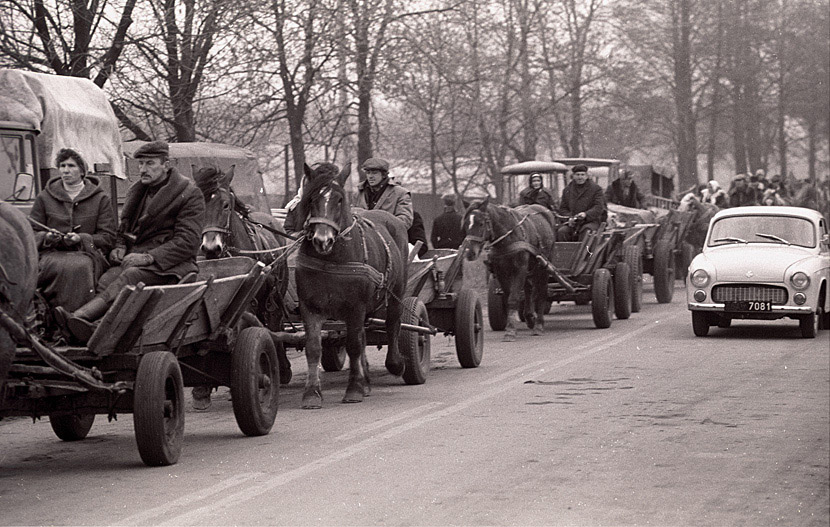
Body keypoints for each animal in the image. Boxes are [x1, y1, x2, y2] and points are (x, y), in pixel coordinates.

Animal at [296, 163, 410, 410]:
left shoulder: (355, 307)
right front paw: (311, 393)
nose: (322, 240)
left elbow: (354, 345)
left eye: (339, 199)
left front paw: (354, 388)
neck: (331, 259)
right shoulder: (310, 306)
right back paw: (365, 379)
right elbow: (313, 347)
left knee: (393, 325)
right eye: (311, 198)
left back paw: (395, 363)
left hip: (396, 292)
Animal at [464, 198, 556, 342]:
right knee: (529, 289)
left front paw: (511, 331)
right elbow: (509, 298)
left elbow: (513, 299)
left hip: (543, 266)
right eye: (466, 224)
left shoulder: (519, 270)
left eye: (481, 223)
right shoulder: (502, 273)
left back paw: (539, 325)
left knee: (541, 291)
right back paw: (530, 317)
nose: (469, 253)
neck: (508, 237)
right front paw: (511, 326)